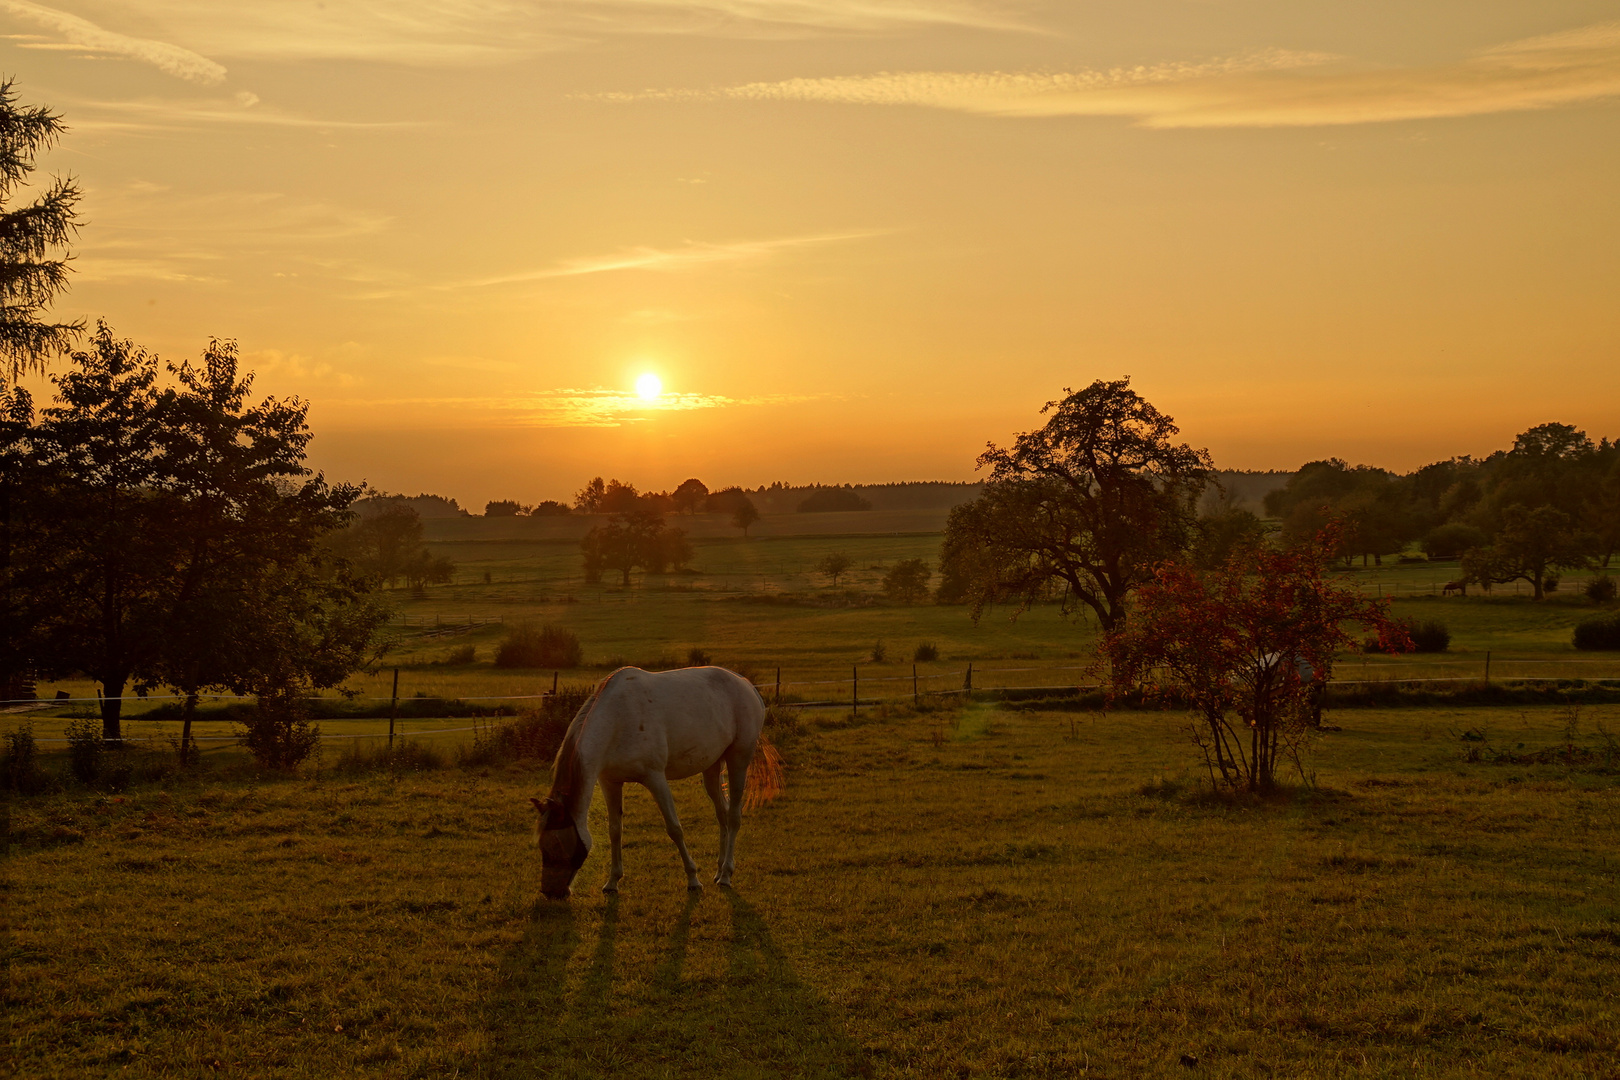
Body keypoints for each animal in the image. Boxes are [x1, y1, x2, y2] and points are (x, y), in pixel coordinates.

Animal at [528, 663, 780, 900]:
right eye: (542, 846)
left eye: (559, 847)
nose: (551, 892)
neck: (617, 719)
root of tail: (746, 685)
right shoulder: (610, 782)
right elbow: (615, 830)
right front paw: (612, 882)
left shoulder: (655, 778)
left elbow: (675, 829)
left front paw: (693, 879)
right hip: (711, 768)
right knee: (723, 814)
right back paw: (718, 872)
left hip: (739, 759)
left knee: (734, 816)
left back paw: (727, 875)